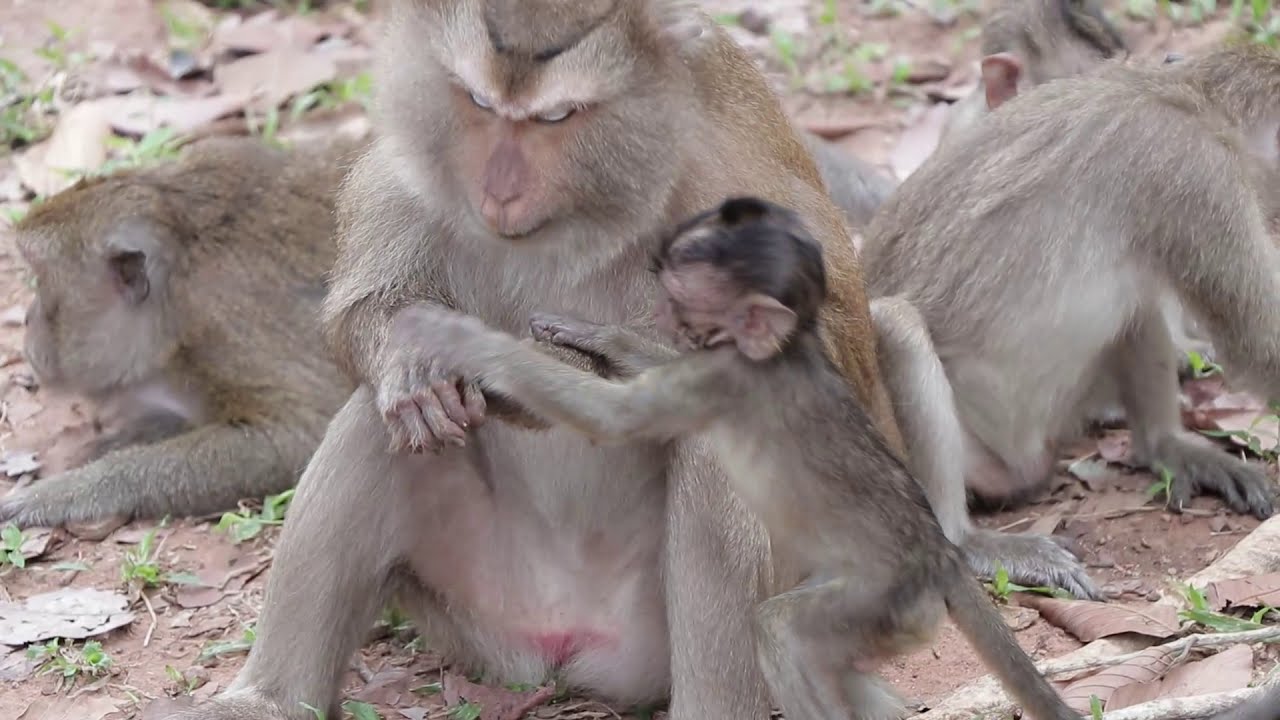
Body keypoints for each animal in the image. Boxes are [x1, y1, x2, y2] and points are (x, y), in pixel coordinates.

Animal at [385, 195, 1081, 720]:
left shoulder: (726, 378)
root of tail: (938, 556)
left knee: (782, 631)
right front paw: (595, 335)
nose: (663, 313)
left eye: (682, 299)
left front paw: (461, 342)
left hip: (883, 601)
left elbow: (615, 418)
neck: (784, 349)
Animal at [859, 41, 1280, 574]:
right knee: (899, 326)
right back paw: (964, 541)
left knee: (1135, 300)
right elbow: (1258, 342)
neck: (1193, 103)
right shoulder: (1200, 178)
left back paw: (1165, 445)